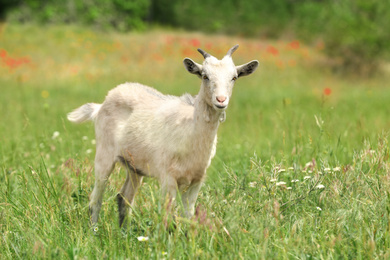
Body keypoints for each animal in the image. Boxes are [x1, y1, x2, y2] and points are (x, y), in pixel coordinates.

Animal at [68, 45, 258, 228]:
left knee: (124, 197)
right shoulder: (168, 177)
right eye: (205, 76)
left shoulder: (197, 179)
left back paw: (123, 233)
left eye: (234, 77)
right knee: (96, 197)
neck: (190, 131)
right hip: (104, 153)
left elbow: (188, 215)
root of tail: (101, 105)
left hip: (135, 166)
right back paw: (94, 231)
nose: (221, 100)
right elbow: (168, 214)